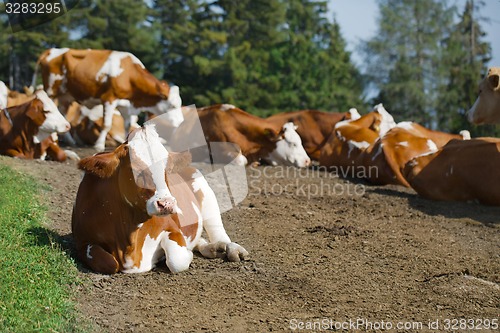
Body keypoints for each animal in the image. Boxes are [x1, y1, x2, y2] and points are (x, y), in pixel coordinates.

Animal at [72, 119, 248, 272]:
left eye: (168, 169)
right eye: (135, 170)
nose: (167, 204)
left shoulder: (172, 228)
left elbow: (177, 260)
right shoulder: (81, 242)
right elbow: (109, 263)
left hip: (205, 191)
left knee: (217, 230)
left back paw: (229, 248)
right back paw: (211, 248)